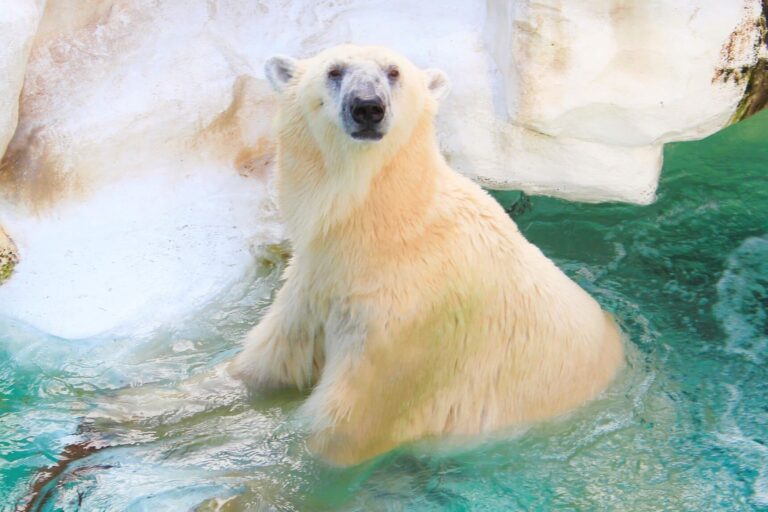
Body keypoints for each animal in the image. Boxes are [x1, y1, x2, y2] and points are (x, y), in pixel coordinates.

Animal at [230, 46, 624, 466]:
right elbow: (263, 366)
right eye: (334, 71)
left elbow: (347, 430)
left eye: (394, 72)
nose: (367, 107)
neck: (388, 231)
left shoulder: (409, 330)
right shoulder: (311, 290)